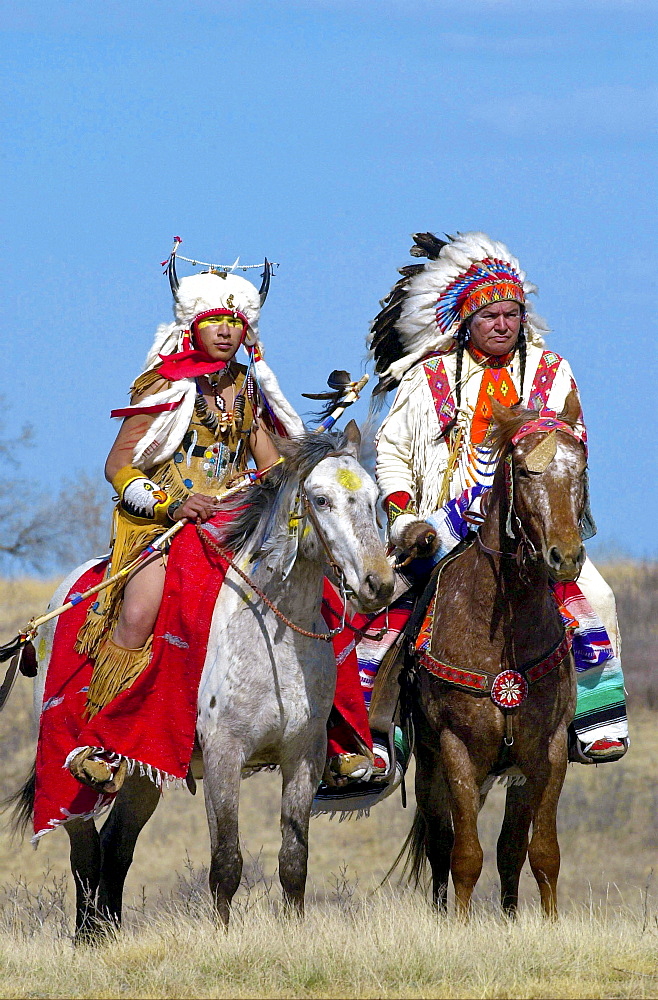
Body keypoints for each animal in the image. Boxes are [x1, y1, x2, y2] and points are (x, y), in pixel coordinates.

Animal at [12, 424, 392, 936]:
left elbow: (294, 861)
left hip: (143, 767)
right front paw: (223, 937)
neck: (272, 632)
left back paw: (108, 934)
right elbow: (226, 861)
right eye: (321, 499)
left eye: (374, 498)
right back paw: (88, 937)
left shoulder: (304, 757)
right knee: (85, 852)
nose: (378, 583)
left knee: (117, 847)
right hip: (66, 765)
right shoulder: (223, 755)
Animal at [400, 388, 584, 916]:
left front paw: (543, 922)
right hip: (431, 766)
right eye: (524, 470)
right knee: (440, 844)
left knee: (508, 849)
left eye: (581, 467)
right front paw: (458, 924)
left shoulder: (545, 751)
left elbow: (537, 852)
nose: (565, 555)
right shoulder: (458, 750)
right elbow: (464, 854)